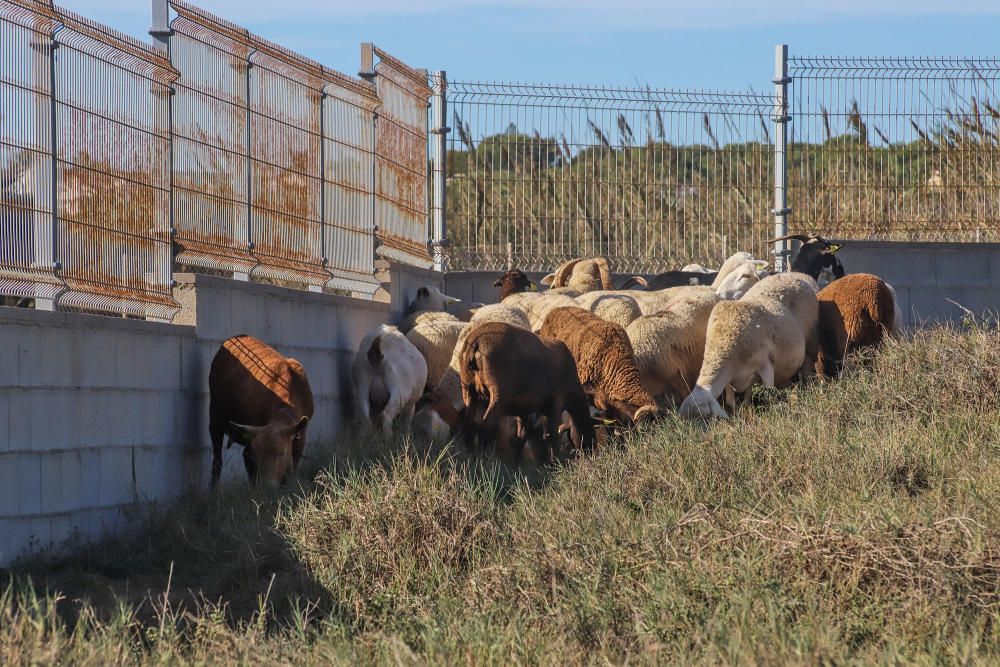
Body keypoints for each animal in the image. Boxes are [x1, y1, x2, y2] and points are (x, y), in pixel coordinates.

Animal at [205, 336, 310, 488]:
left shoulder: (299, 440)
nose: (268, 486)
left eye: (282, 453)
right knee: (218, 458)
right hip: (215, 418)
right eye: (257, 456)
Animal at [458, 324, 592, 464]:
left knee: (468, 427)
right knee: (485, 429)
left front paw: (517, 465)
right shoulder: (555, 405)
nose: (589, 456)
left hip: (468, 389)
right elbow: (553, 436)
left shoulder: (525, 411)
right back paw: (483, 462)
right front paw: (555, 464)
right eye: (589, 433)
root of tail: (476, 342)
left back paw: (470, 459)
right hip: (498, 396)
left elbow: (522, 437)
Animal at [676, 272, 816, 418]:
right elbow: (733, 401)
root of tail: (797, 274)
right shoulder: (734, 379)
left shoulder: (765, 366)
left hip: (810, 343)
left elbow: (769, 396)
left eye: (706, 417)